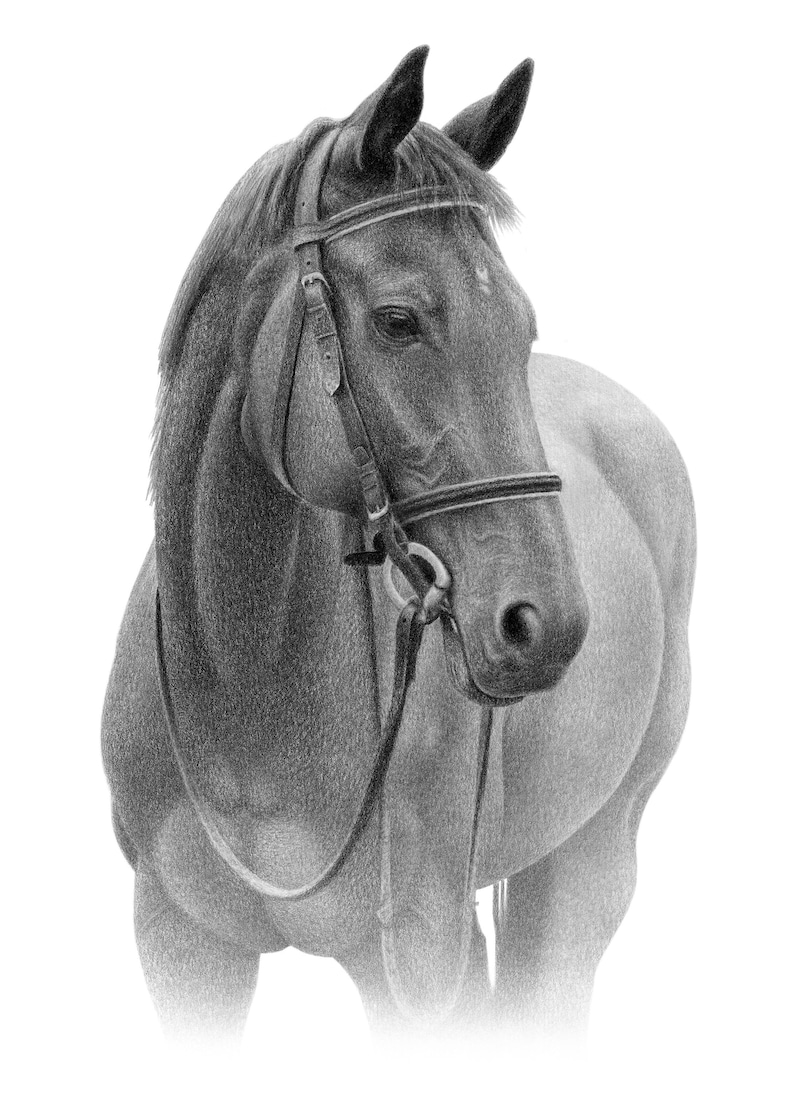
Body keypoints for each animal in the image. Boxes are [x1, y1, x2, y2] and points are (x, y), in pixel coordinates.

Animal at [102, 45, 695, 1044]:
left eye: (521, 325)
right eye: (397, 320)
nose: (546, 624)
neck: (244, 682)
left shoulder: (413, 957)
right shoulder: (181, 946)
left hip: (590, 858)